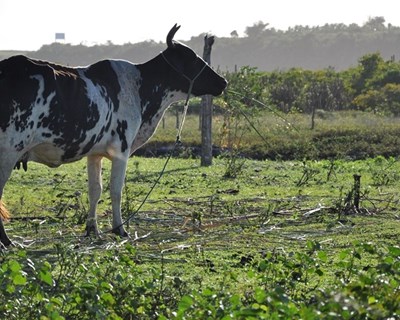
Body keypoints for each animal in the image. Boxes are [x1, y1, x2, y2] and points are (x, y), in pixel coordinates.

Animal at [0, 25, 228, 246]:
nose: (223, 81)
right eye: (192, 58)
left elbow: (95, 190)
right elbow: (115, 191)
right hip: (9, 152)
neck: (139, 87)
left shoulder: (94, 153)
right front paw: (120, 229)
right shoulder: (121, 151)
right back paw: (8, 241)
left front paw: (92, 229)